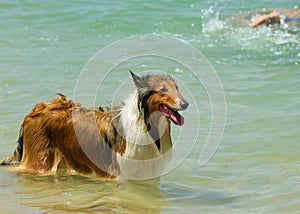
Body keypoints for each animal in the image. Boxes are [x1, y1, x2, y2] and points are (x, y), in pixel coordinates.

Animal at [0, 71, 188, 179]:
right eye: (163, 90)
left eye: (177, 87)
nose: (186, 104)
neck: (147, 124)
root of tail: (34, 110)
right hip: (39, 162)